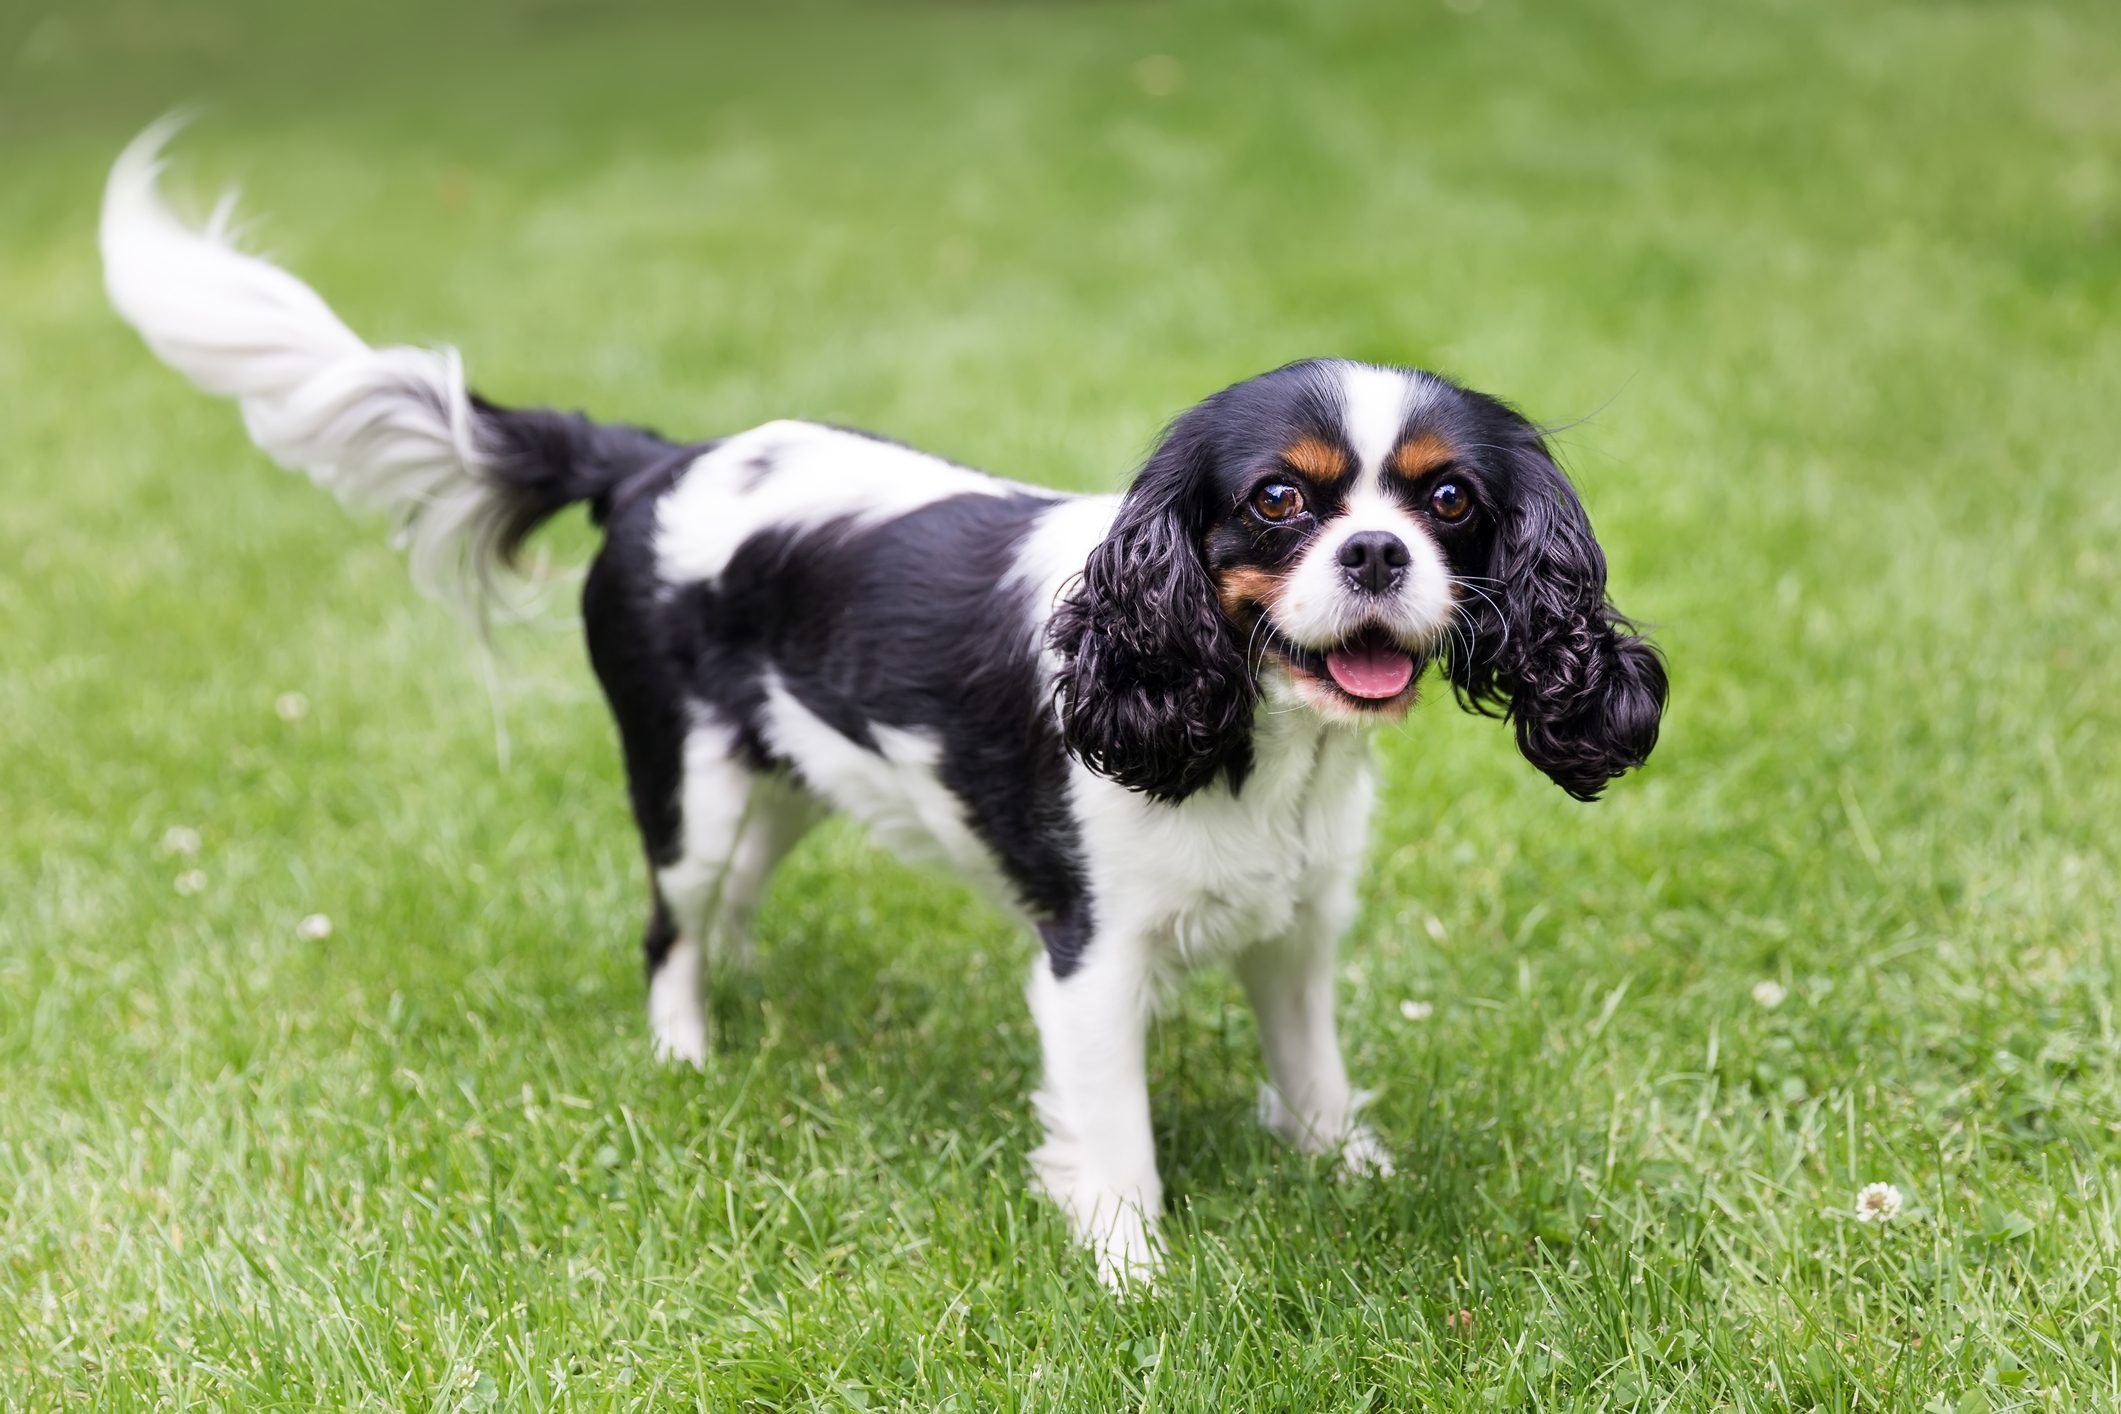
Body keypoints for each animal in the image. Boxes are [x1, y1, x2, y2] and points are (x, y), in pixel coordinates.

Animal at [103, 127, 1671, 1288]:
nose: (1377, 555)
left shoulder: (1297, 927)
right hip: (688, 790)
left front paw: (1350, 1175)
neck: (1253, 730)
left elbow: (1319, 1076)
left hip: (790, 783)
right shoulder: (1089, 957)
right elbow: (1117, 1142)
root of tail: (657, 461)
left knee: (732, 903)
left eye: (1447, 501)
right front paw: (1135, 1279)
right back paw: (688, 1057)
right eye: (1281, 501)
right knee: (671, 924)